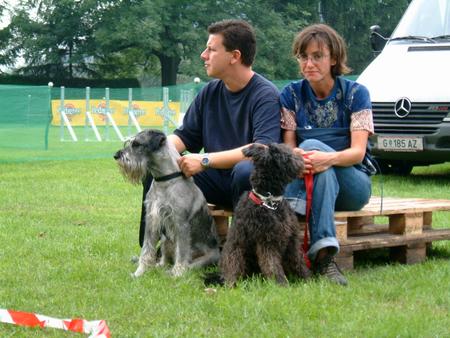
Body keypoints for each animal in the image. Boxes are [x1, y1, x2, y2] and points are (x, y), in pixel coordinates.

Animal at [114, 129, 220, 278]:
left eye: (137, 144)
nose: (116, 155)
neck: (164, 180)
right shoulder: (152, 220)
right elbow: (147, 249)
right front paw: (140, 272)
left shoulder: (181, 223)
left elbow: (182, 252)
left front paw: (177, 273)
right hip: (165, 240)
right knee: (164, 259)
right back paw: (159, 266)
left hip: (203, 260)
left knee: (189, 265)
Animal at [219, 143, 312, 286]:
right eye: (287, 153)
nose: (300, 154)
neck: (270, 202)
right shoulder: (267, 241)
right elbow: (272, 264)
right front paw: (281, 284)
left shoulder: (292, 239)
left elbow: (298, 260)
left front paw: (308, 279)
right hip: (236, 252)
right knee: (233, 270)